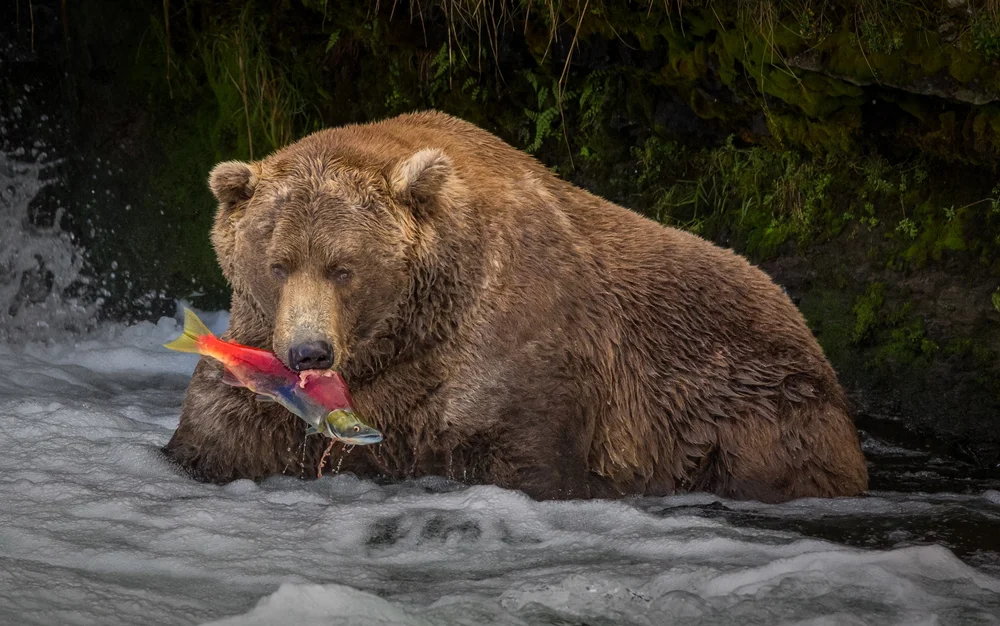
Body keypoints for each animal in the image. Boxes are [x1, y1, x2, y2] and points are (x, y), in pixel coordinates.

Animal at [164, 110, 868, 503]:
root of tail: (806, 327)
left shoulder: (515, 346)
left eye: (344, 267)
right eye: (277, 263)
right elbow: (223, 433)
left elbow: (524, 457)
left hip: (754, 408)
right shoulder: (261, 351)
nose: (309, 352)